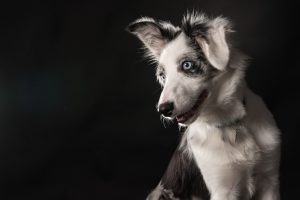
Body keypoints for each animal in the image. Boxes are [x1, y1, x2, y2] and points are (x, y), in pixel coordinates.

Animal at [127, 11, 282, 200]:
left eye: (187, 65)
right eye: (163, 75)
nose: (163, 110)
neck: (231, 125)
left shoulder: (270, 180)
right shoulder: (223, 188)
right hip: (160, 193)